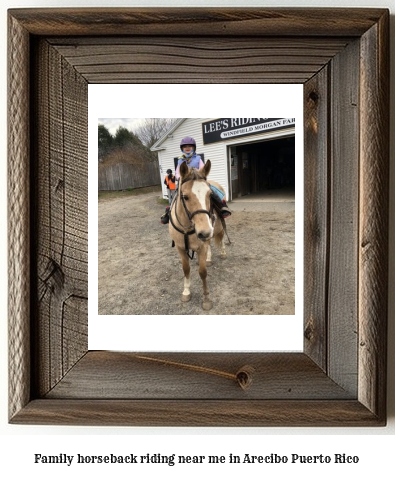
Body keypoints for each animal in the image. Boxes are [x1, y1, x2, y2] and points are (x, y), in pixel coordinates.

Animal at [169, 159, 227, 312]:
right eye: (185, 196)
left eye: (210, 195)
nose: (204, 231)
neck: (187, 228)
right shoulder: (181, 248)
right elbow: (186, 269)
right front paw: (186, 292)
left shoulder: (201, 246)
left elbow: (202, 272)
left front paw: (206, 299)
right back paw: (209, 258)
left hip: (218, 227)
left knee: (221, 238)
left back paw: (223, 253)